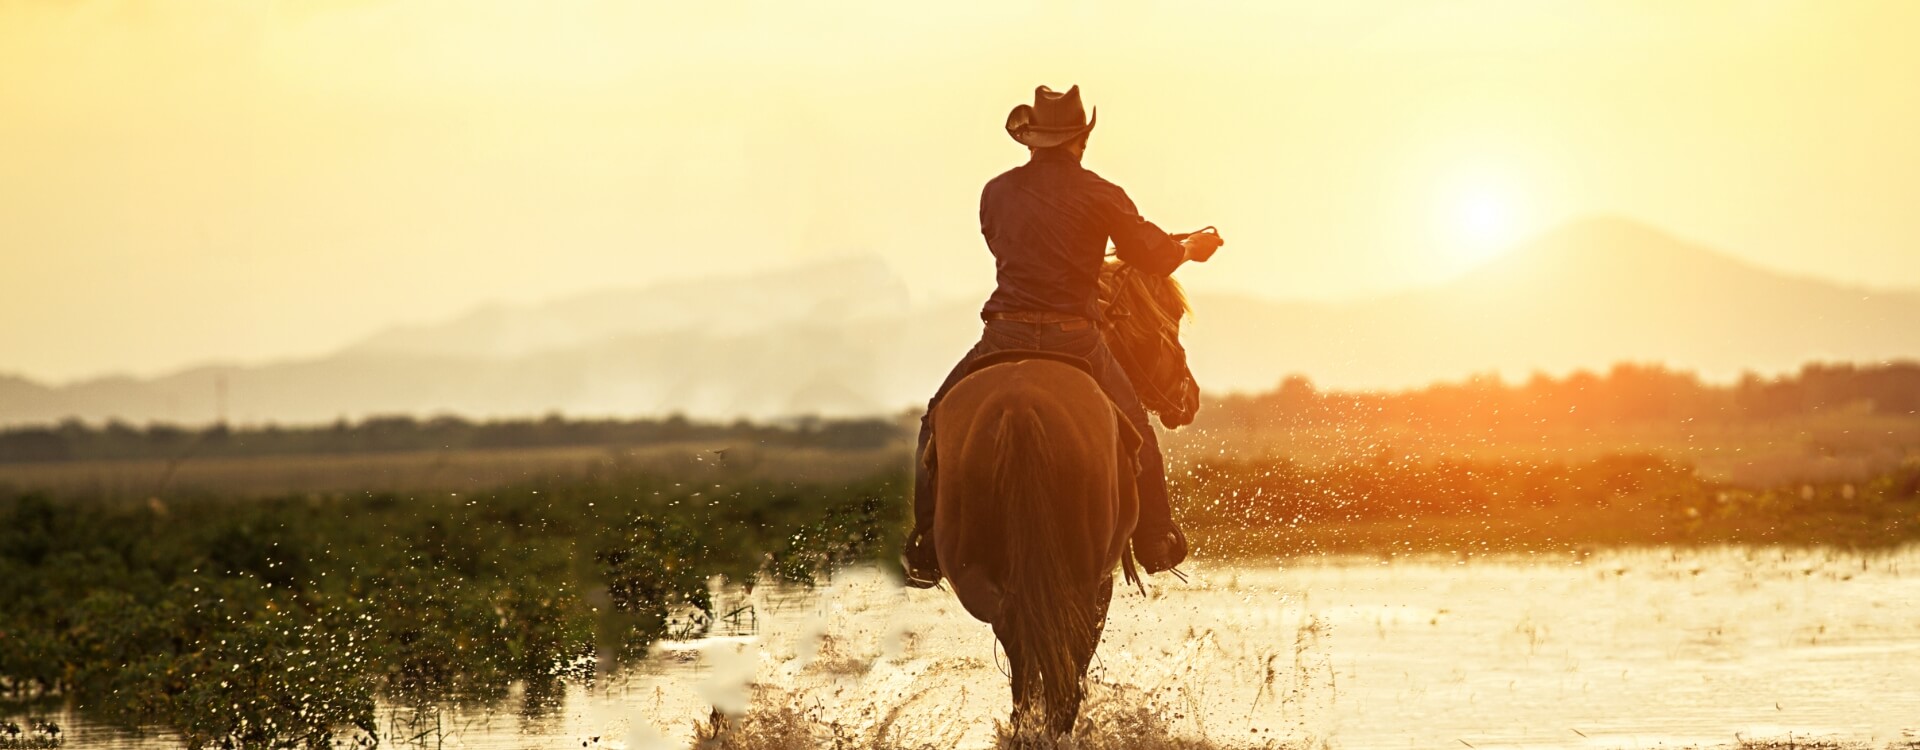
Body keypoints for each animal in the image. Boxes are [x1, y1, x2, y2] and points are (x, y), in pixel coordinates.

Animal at [921, 257, 1190, 732]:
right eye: (1169, 319)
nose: (1189, 395)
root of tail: (1019, 406)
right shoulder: (1101, 583)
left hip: (974, 573)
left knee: (1018, 636)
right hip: (1079, 577)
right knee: (1060, 660)